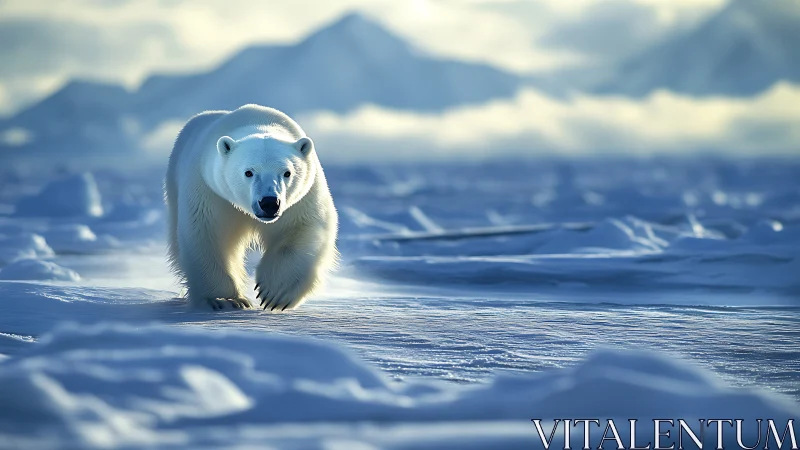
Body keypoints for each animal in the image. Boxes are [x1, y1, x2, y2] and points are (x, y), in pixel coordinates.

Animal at [165, 104, 338, 311]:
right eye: (249, 172)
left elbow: (302, 228)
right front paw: (224, 299)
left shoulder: (302, 197)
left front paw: (275, 292)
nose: (269, 203)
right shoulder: (210, 191)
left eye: (287, 172)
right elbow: (208, 235)